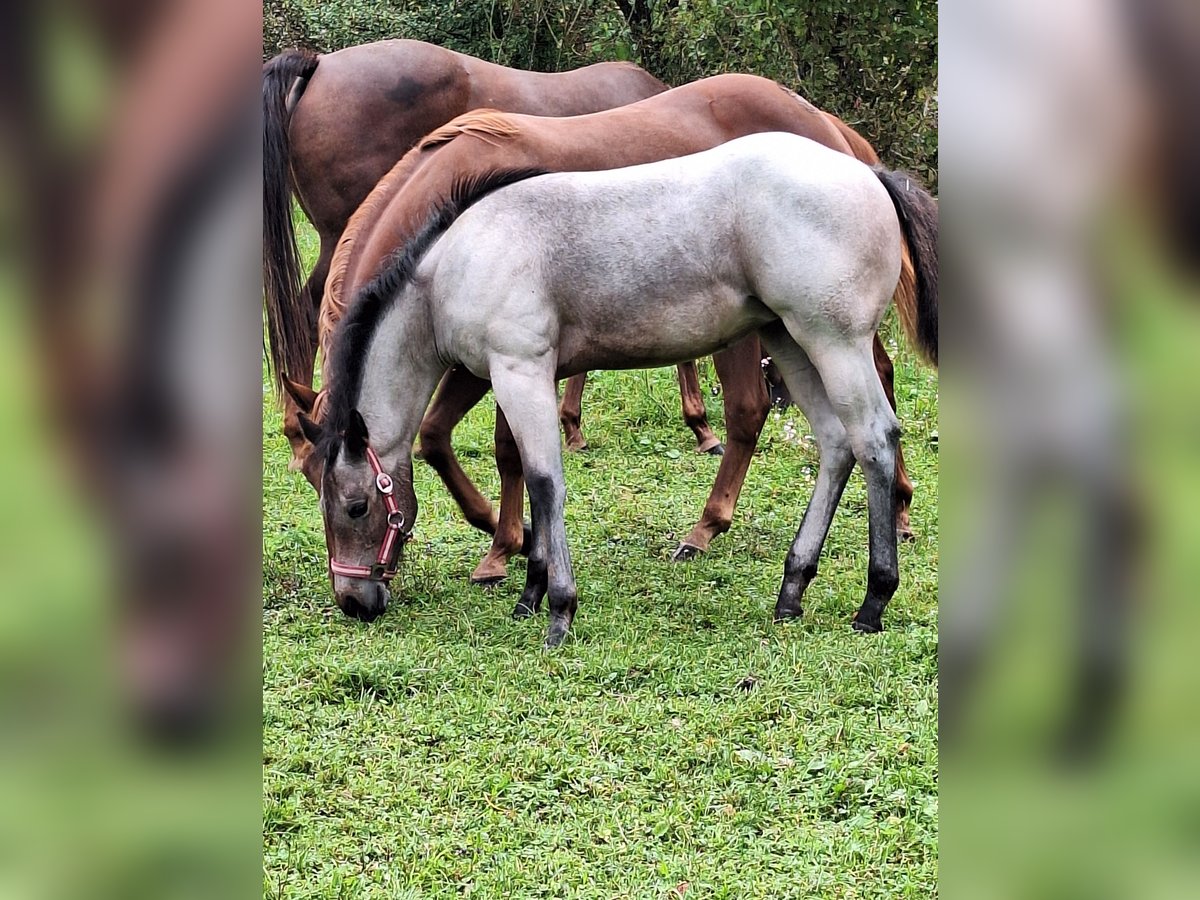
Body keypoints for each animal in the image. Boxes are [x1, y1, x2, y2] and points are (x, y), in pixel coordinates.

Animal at [285, 75, 931, 585]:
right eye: (310, 481)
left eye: (354, 506)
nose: (354, 600)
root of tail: (841, 142)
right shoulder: (481, 365)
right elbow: (438, 438)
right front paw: (506, 539)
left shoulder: (508, 362)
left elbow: (501, 450)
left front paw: (505, 543)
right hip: (796, 333)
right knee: (863, 397)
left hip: (806, 334)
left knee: (771, 412)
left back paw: (716, 527)